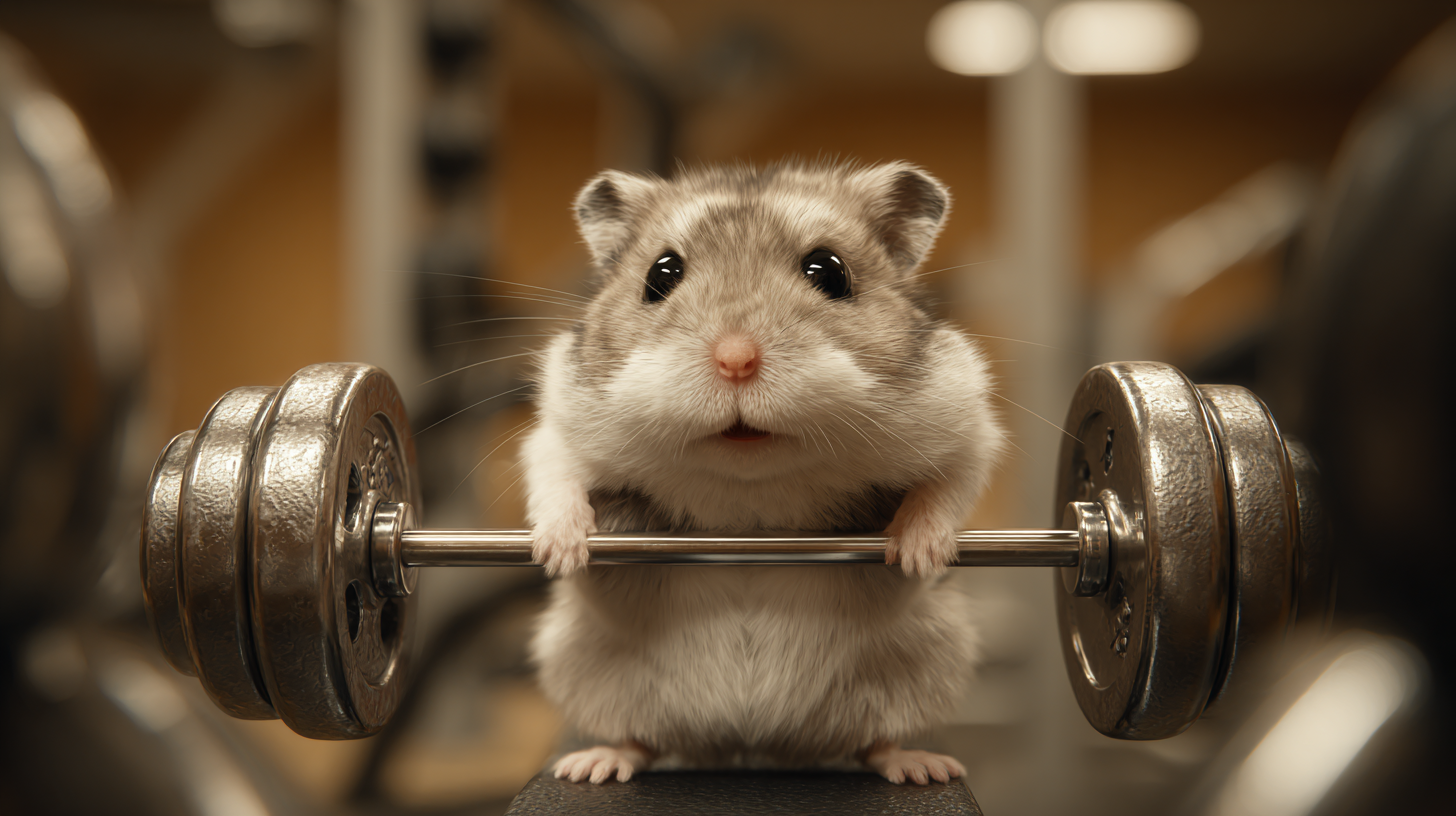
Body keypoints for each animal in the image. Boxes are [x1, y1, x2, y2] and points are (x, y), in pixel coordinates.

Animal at [521, 161, 1006, 786]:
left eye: (831, 271)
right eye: (660, 274)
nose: (735, 360)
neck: (750, 479)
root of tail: (752, 746)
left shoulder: (967, 421)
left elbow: (948, 484)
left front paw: (915, 554)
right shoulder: (558, 425)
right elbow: (554, 476)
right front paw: (561, 554)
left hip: (926, 663)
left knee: (872, 741)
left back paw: (924, 768)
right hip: (588, 666)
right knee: (641, 739)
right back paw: (590, 766)